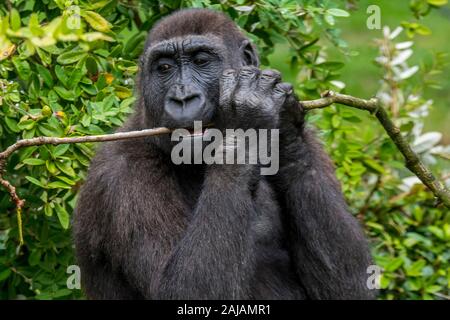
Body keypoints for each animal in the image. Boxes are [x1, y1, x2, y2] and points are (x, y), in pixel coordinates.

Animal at [74, 8, 376, 300]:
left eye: (201, 61)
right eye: (164, 68)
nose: (182, 98)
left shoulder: (310, 139)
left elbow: (352, 286)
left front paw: (283, 127)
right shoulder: (121, 172)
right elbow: (181, 291)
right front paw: (247, 118)